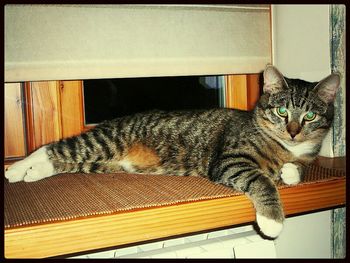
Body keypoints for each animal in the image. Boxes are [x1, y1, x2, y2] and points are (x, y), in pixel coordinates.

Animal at [4, 66, 340, 239]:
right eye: (282, 111)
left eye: (310, 116)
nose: (293, 131)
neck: (284, 147)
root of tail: (116, 120)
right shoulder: (230, 160)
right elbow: (262, 181)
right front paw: (271, 220)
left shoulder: (304, 156)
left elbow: (300, 168)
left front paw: (291, 171)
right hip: (104, 142)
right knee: (52, 147)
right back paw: (16, 169)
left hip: (102, 161)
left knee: (63, 161)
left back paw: (32, 174)